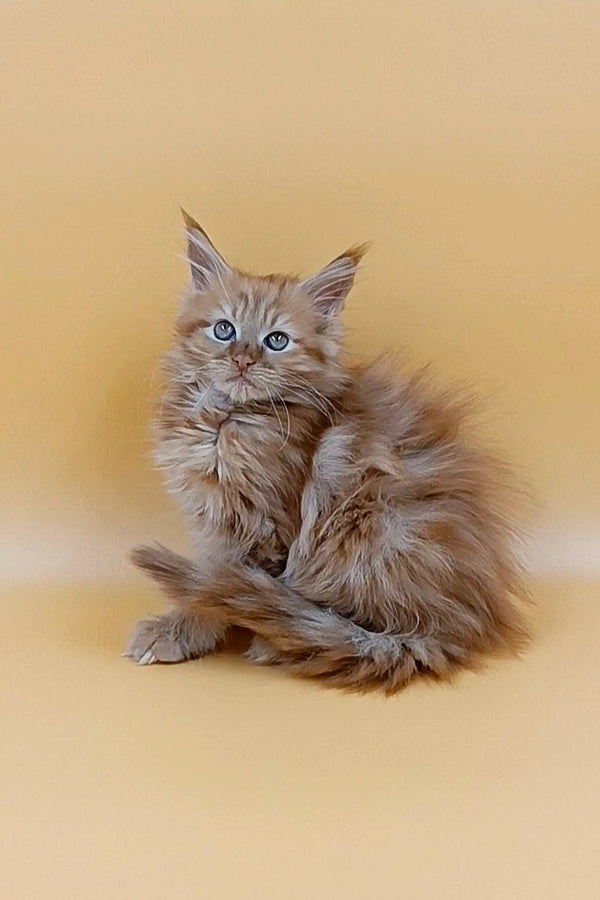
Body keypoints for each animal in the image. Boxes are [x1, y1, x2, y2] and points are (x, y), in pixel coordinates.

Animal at [124, 213, 528, 696]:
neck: (227, 420)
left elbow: (213, 589)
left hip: (368, 526)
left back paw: (287, 639)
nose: (243, 360)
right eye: (224, 330)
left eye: (277, 340)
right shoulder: (216, 519)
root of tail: (470, 621)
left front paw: (178, 631)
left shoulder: (263, 528)